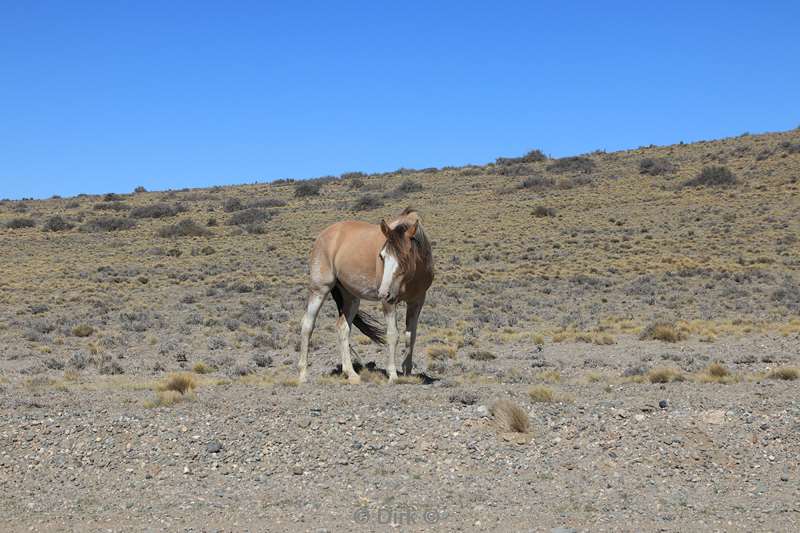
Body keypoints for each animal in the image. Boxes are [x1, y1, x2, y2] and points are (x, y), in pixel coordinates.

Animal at [298, 207, 434, 382]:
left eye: (405, 257)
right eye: (382, 256)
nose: (383, 293)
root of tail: (324, 234)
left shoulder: (417, 301)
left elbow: (411, 335)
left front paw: (407, 371)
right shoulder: (389, 303)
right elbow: (393, 335)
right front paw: (393, 374)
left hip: (351, 298)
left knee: (343, 328)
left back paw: (351, 374)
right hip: (320, 289)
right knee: (308, 325)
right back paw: (303, 374)